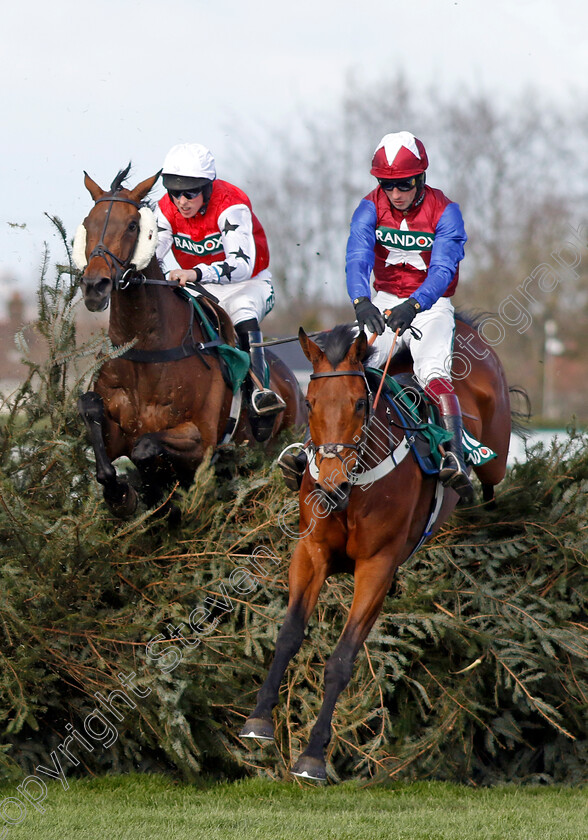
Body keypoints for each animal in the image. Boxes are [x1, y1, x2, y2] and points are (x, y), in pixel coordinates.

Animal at [76, 166, 306, 520]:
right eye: (88, 223)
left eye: (132, 226)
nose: (94, 286)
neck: (147, 354)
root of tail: (296, 386)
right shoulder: (117, 435)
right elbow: (93, 417)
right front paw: (123, 494)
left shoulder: (201, 440)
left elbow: (146, 448)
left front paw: (154, 490)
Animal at [239, 320, 516, 780]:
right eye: (310, 403)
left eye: (357, 403)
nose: (331, 483)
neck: (354, 489)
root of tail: (468, 328)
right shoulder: (311, 551)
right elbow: (289, 634)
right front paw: (259, 718)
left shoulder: (377, 567)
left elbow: (341, 660)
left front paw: (313, 756)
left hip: (495, 450)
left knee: (489, 465)